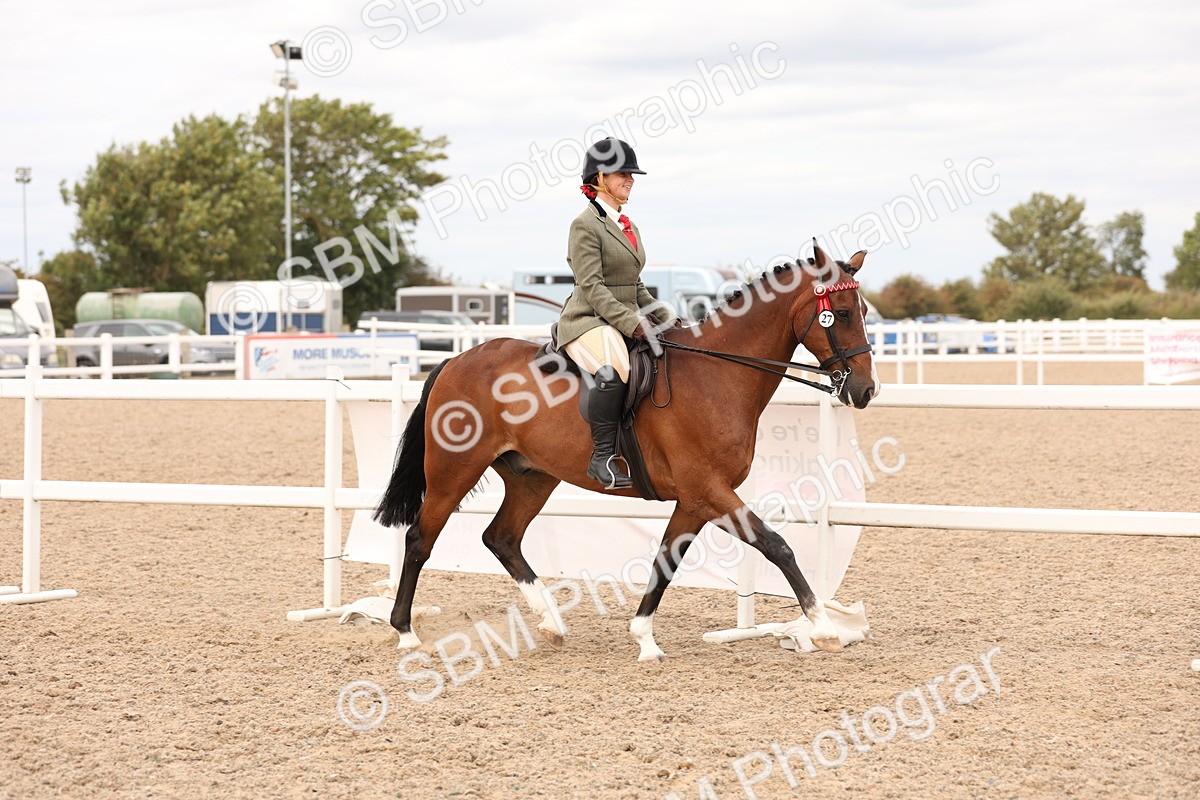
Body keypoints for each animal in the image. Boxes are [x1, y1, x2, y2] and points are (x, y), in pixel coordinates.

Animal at [374, 245, 878, 661]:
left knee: (502, 538)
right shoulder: (709, 491)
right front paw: (824, 627)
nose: (866, 390)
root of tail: (455, 361)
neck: (718, 375)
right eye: (842, 313)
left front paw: (644, 638)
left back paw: (552, 624)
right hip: (453, 471)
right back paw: (405, 633)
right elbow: (778, 546)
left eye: (863, 310)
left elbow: (666, 561)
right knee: (420, 539)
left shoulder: (695, 500)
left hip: (532, 477)